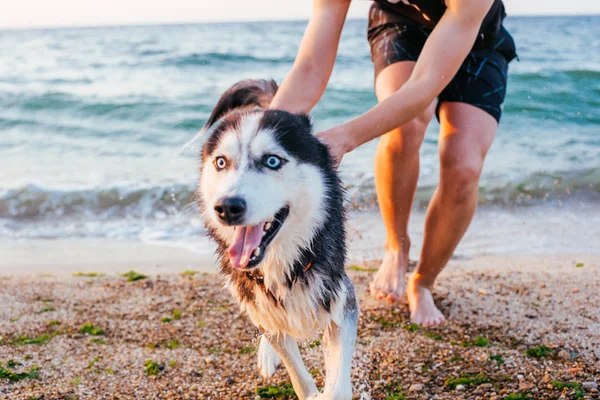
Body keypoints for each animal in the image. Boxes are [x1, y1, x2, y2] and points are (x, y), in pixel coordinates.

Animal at [197, 79, 356, 398]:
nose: (226, 207)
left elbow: (337, 383)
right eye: (220, 162)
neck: (285, 261)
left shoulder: (341, 299)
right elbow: (295, 368)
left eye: (272, 161)